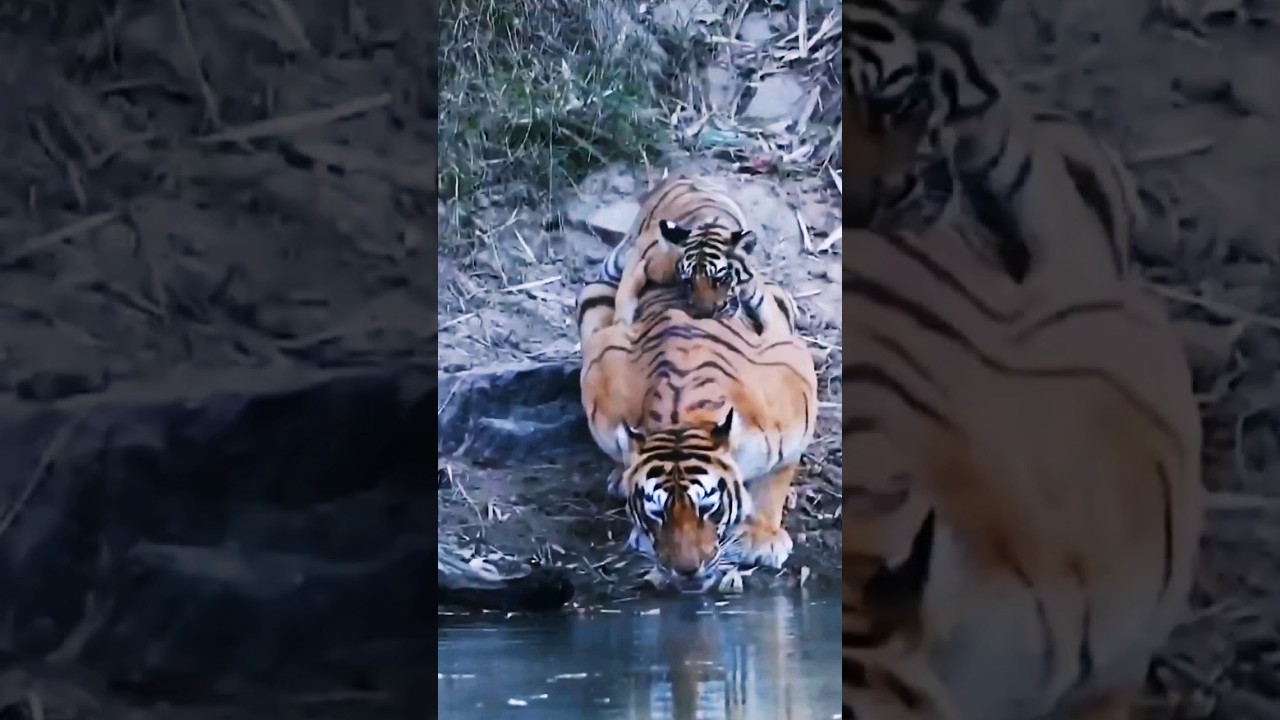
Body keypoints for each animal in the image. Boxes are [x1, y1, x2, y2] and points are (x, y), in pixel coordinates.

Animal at [575, 267, 816, 594]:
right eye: (656, 513)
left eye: (708, 507)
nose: (687, 570)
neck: (682, 418)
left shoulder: (796, 396)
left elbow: (774, 481)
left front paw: (761, 538)